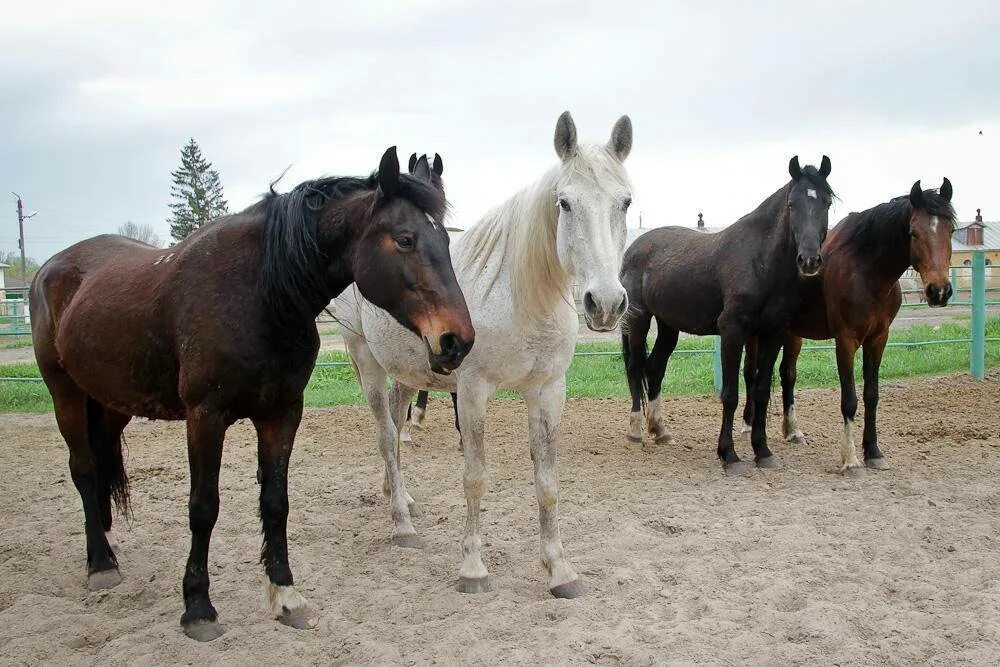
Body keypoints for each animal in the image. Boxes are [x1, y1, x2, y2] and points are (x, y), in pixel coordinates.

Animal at [27, 147, 472, 640]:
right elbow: (203, 507)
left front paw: (286, 595)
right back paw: (100, 563)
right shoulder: (205, 416)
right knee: (84, 470)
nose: (457, 340)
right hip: (64, 392)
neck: (259, 294)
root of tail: (51, 267)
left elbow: (276, 503)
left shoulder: (282, 413)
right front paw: (198, 607)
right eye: (406, 239)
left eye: (445, 239)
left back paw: (105, 540)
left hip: (111, 402)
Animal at [336, 112, 632, 596]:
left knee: (396, 431)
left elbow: (547, 482)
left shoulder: (548, 391)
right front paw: (472, 568)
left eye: (625, 202)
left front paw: (560, 570)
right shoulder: (473, 391)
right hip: (367, 361)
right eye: (565, 204)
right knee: (384, 435)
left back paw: (402, 498)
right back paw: (401, 525)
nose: (604, 303)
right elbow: (474, 478)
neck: (520, 295)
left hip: (405, 370)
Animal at [620, 157, 832, 474]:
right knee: (635, 368)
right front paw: (728, 455)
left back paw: (660, 430)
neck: (759, 261)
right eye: (792, 204)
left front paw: (763, 451)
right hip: (638, 319)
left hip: (668, 325)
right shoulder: (732, 332)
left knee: (655, 368)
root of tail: (633, 248)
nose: (809, 260)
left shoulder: (772, 334)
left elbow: (761, 390)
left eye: (827, 202)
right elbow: (730, 393)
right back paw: (635, 431)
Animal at [744, 177, 952, 474]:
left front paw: (873, 452)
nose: (938, 291)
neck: (866, 271)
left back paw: (793, 431)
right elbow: (849, 400)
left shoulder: (878, 339)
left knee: (787, 374)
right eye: (913, 231)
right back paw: (747, 425)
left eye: (951, 229)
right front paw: (850, 458)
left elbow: (871, 395)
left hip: (792, 334)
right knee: (750, 373)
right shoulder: (846, 340)